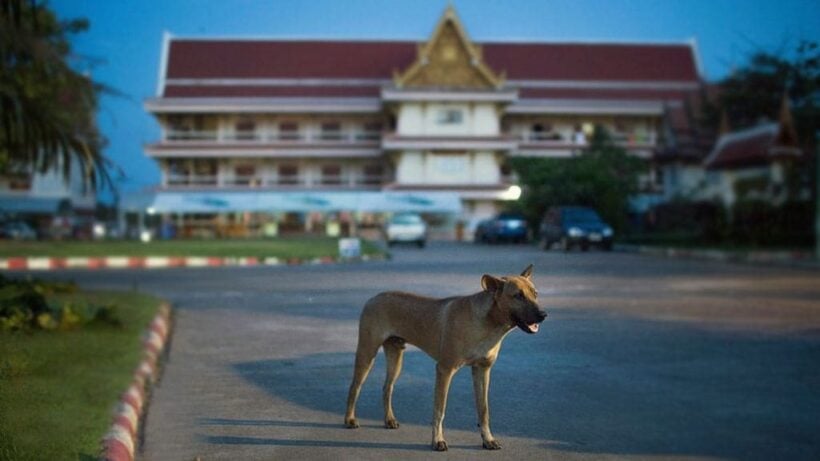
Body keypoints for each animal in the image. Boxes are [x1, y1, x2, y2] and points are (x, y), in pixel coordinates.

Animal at [342, 262, 548, 450]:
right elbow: (439, 410)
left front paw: (488, 439)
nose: (543, 314)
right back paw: (349, 419)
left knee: (387, 387)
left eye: (535, 294)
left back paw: (389, 420)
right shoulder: (445, 370)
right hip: (367, 353)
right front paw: (437, 441)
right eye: (518, 296)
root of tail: (374, 297)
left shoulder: (482, 371)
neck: (487, 322)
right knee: (354, 387)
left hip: (396, 357)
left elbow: (483, 410)